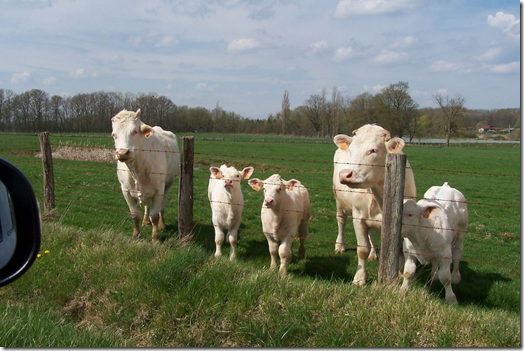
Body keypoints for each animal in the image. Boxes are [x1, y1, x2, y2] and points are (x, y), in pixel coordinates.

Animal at [110, 108, 180, 243]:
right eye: (114, 135)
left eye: (134, 131)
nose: (122, 153)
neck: (137, 170)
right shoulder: (125, 190)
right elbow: (135, 214)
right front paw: (136, 234)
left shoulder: (159, 190)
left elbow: (155, 215)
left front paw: (156, 237)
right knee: (147, 206)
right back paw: (146, 221)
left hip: (168, 185)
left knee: (162, 206)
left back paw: (162, 224)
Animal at [334, 124, 416, 286]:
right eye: (351, 149)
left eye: (373, 150)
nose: (345, 174)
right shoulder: (358, 218)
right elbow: (362, 249)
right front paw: (359, 278)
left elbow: (398, 252)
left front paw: (397, 275)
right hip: (339, 202)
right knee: (341, 221)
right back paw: (340, 246)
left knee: (371, 234)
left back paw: (373, 254)